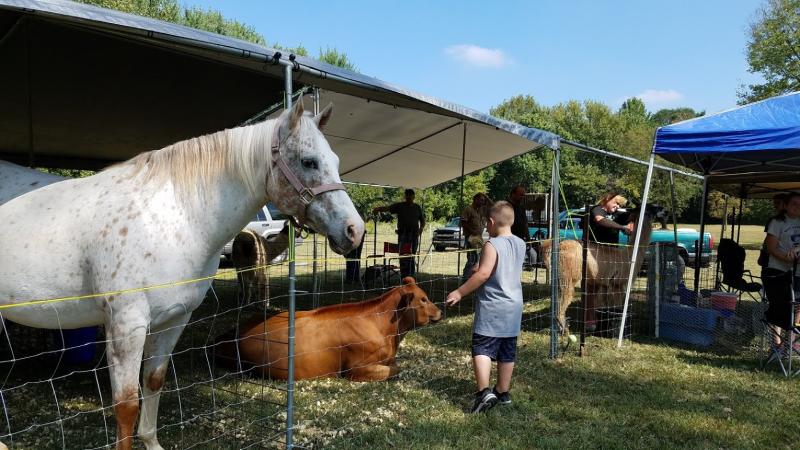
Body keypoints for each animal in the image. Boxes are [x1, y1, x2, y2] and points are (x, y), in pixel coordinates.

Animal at [0, 102, 364, 450]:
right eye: (308, 162)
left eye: (334, 160)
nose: (355, 230)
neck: (172, 217)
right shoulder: (126, 325)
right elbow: (126, 405)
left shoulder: (174, 319)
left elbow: (154, 381)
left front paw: (152, 442)